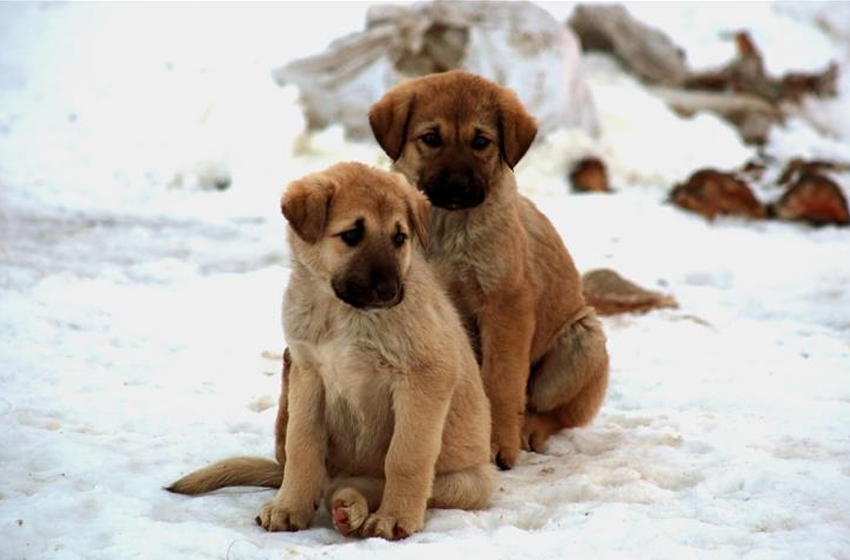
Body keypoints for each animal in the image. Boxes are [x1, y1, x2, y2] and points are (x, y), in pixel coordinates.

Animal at [167, 161, 490, 540]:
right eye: (352, 235)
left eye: (400, 238)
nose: (389, 291)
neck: (342, 312)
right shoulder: (308, 375)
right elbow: (301, 445)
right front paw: (289, 507)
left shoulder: (424, 376)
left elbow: (405, 456)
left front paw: (395, 517)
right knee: (332, 482)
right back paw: (345, 506)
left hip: (467, 482)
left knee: (373, 482)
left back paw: (352, 507)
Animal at [368, 72, 608, 470]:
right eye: (431, 138)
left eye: (481, 142)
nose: (456, 187)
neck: (447, 228)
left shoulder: (506, 305)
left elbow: (500, 382)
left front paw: (496, 443)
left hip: (581, 343)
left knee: (556, 412)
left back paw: (529, 430)